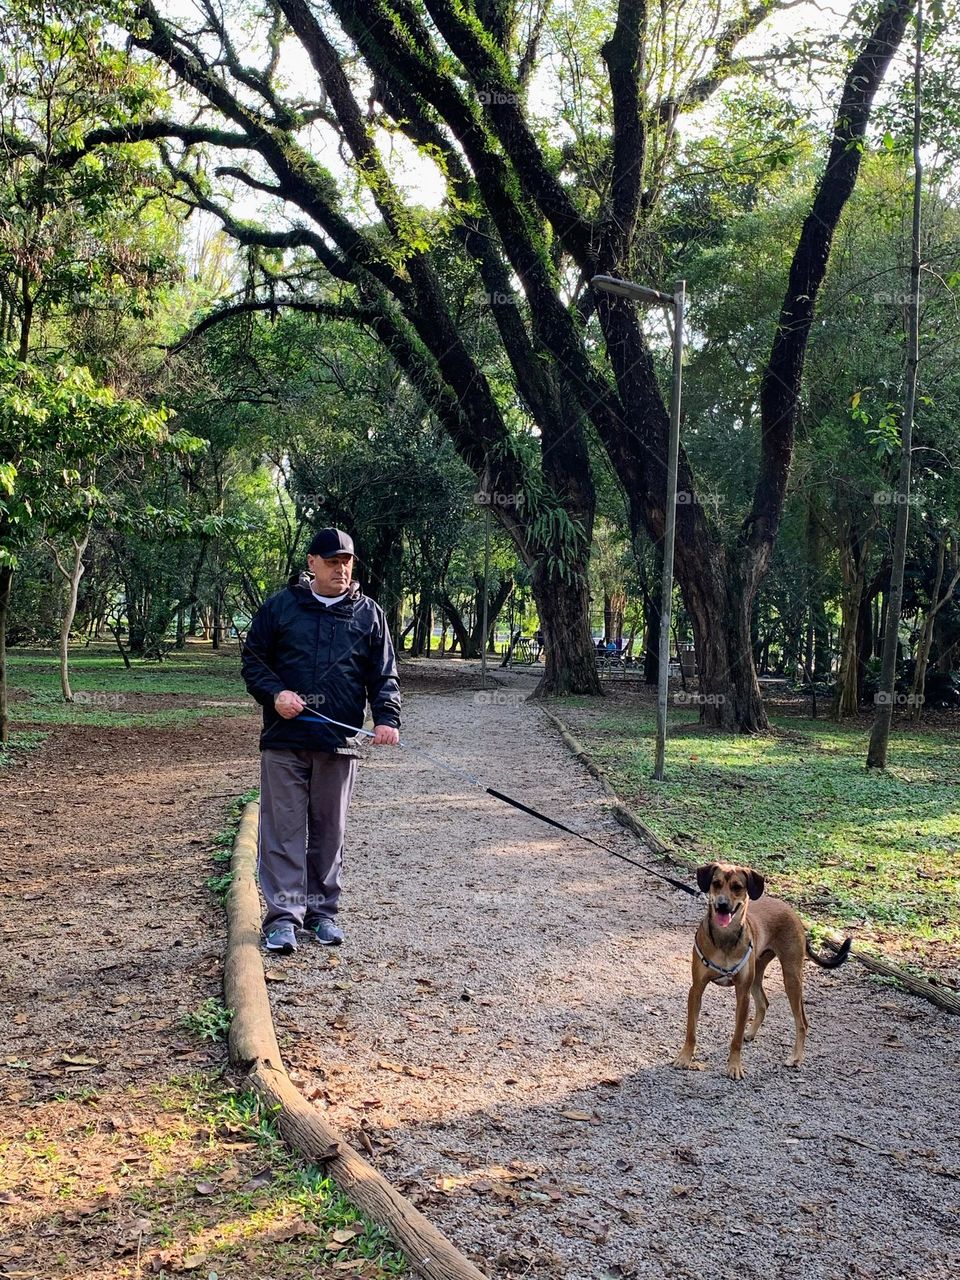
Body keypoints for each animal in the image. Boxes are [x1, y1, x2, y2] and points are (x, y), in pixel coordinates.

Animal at [675, 860, 849, 1080]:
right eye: (716, 883)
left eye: (737, 887)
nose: (722, 904)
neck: (725, 938)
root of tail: (792, 912)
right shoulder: (696, 989)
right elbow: (691, 1030)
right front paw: (684, 1057)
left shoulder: (742, 994)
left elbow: (736, 1038)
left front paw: (734, 1066)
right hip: (757, 974)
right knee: (764, 1003)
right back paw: (751, 1033)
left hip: (791, 977)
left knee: (802, 1022)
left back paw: (796, 1057)